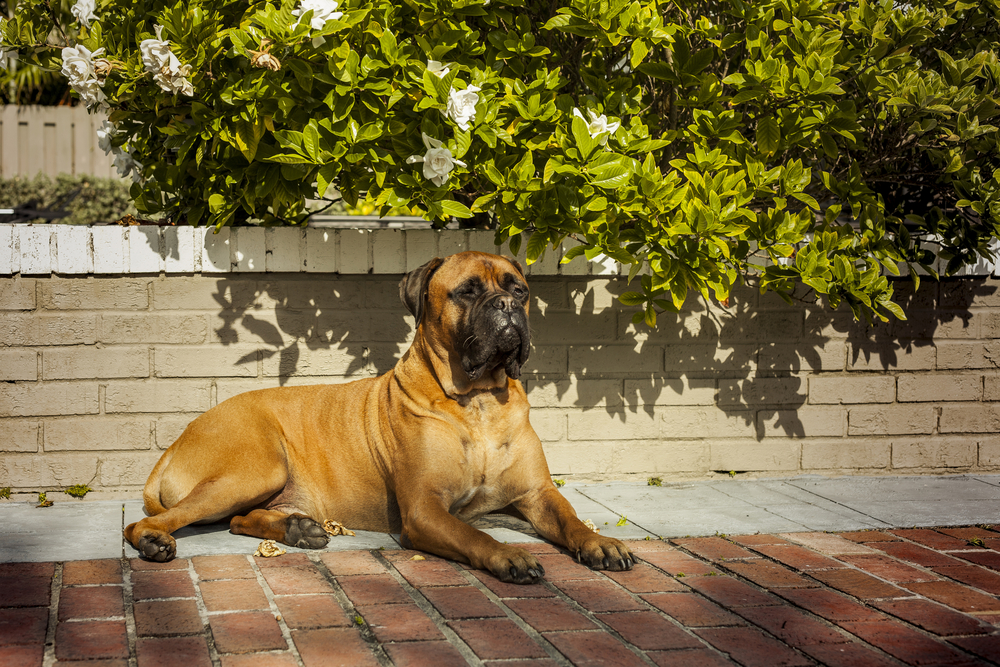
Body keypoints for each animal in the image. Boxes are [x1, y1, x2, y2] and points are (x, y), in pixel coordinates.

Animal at [125, 252, 632, 584]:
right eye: (467, 292)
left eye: (519, 290)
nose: (507, 306)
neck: (480, 401)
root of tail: (179, 437)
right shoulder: (425, 510)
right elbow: (472, 534)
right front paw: (508, 555)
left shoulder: (537, 493)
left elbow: (571, 519)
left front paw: (600, 543)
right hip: (255, 468)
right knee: (148, 524)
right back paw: (154, 542)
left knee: (237, 520)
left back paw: (297, 529)